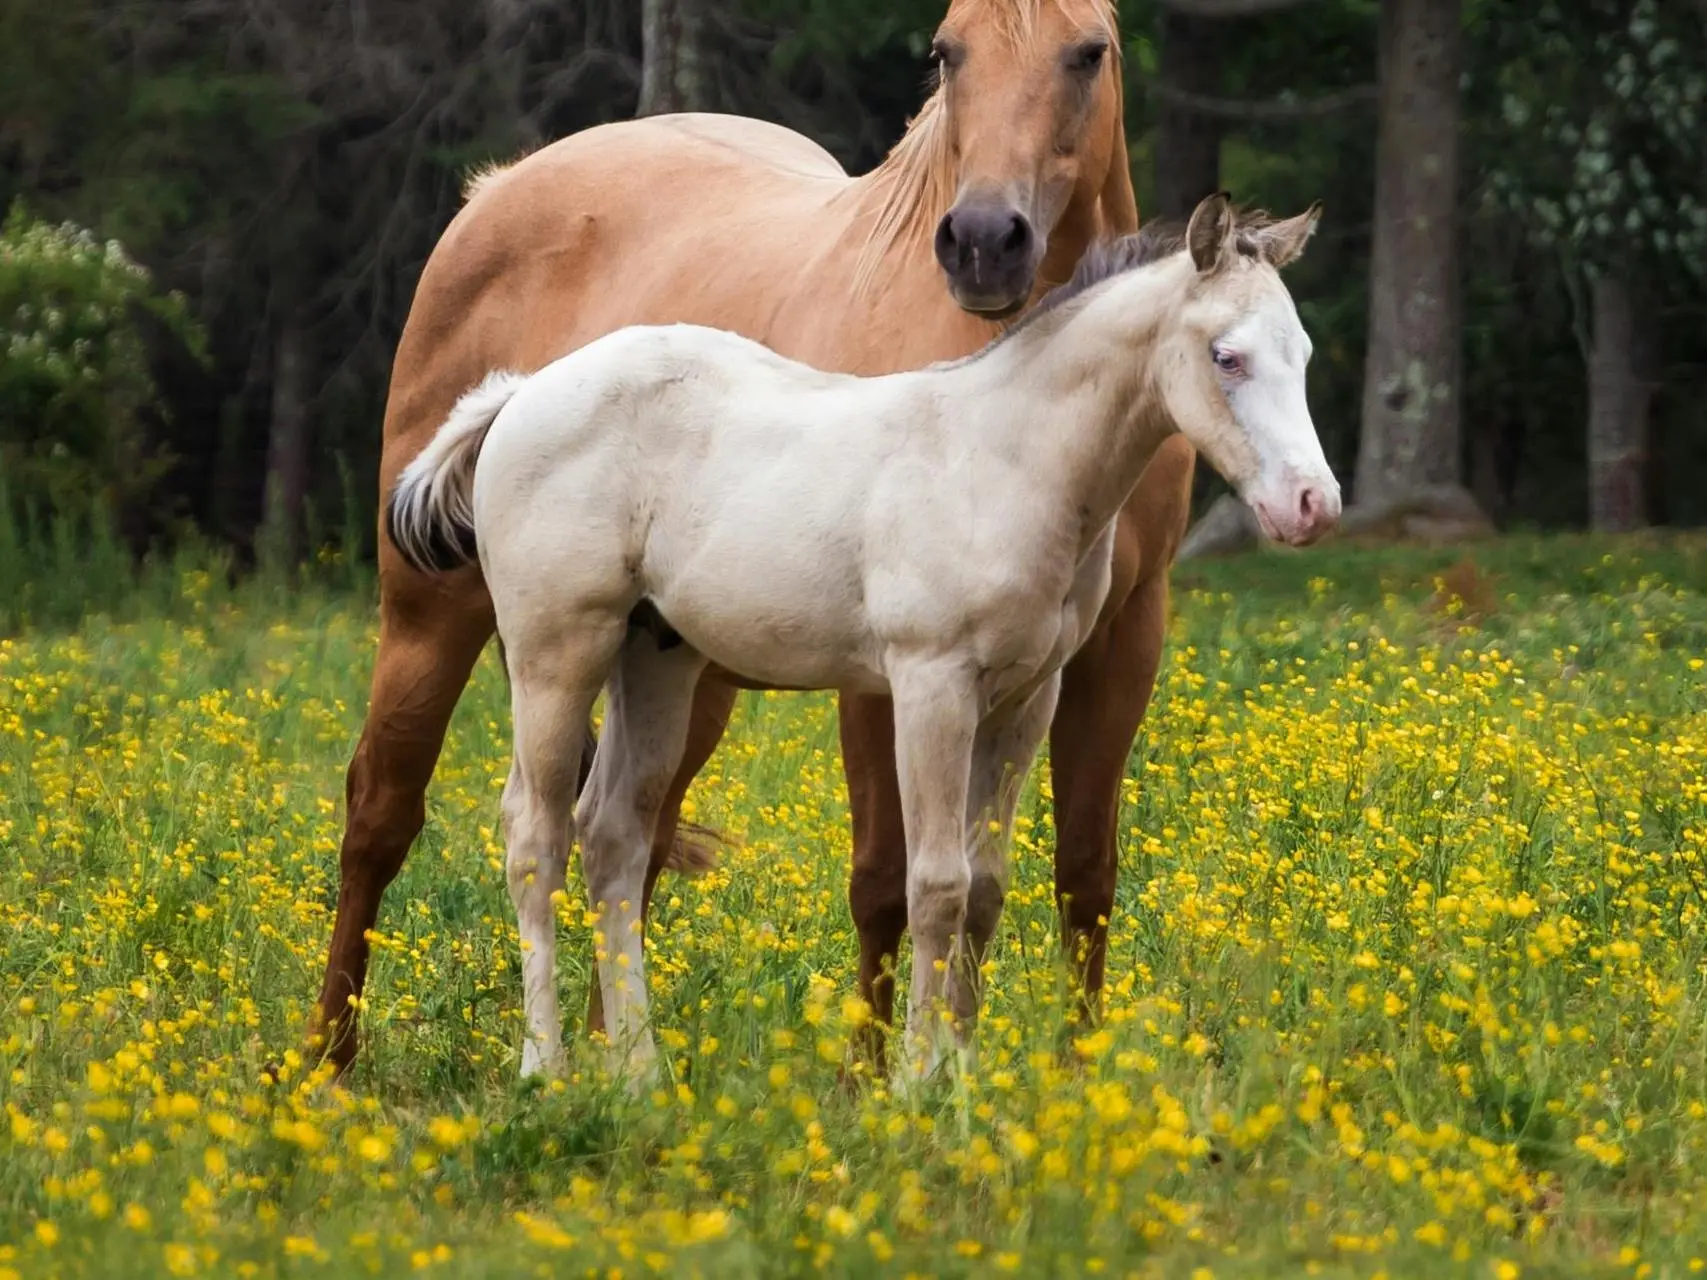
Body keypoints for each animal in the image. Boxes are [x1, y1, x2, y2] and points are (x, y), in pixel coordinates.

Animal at [310, 0, 1201, 1078]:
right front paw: (868, 1081)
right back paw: (324, 1060)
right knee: (385, 809)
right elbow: (886, 875)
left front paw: (1075, 1080)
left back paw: (616, 1064)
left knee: (627, 839)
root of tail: (498, 189)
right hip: (435, 613)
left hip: (677, 663)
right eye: (946, 52)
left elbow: (1082, 870)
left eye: (1090, 52)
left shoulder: (1116, 638)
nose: (986, 242)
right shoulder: (893, 672)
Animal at [390, 195, 1345, 1085]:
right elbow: (936, 886)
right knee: (535, 837)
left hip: (653, 656)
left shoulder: (1024, 698)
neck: (1005, 460)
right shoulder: (932, 685)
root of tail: (521, 393)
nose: (1313, 506)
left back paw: (638, 1074)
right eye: (1226, 356)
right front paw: (917, 1082)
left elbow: (986, 889)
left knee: (614, 836)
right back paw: (543, 1067)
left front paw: (961, 1075)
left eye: (1301, 353)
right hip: (558, 649)